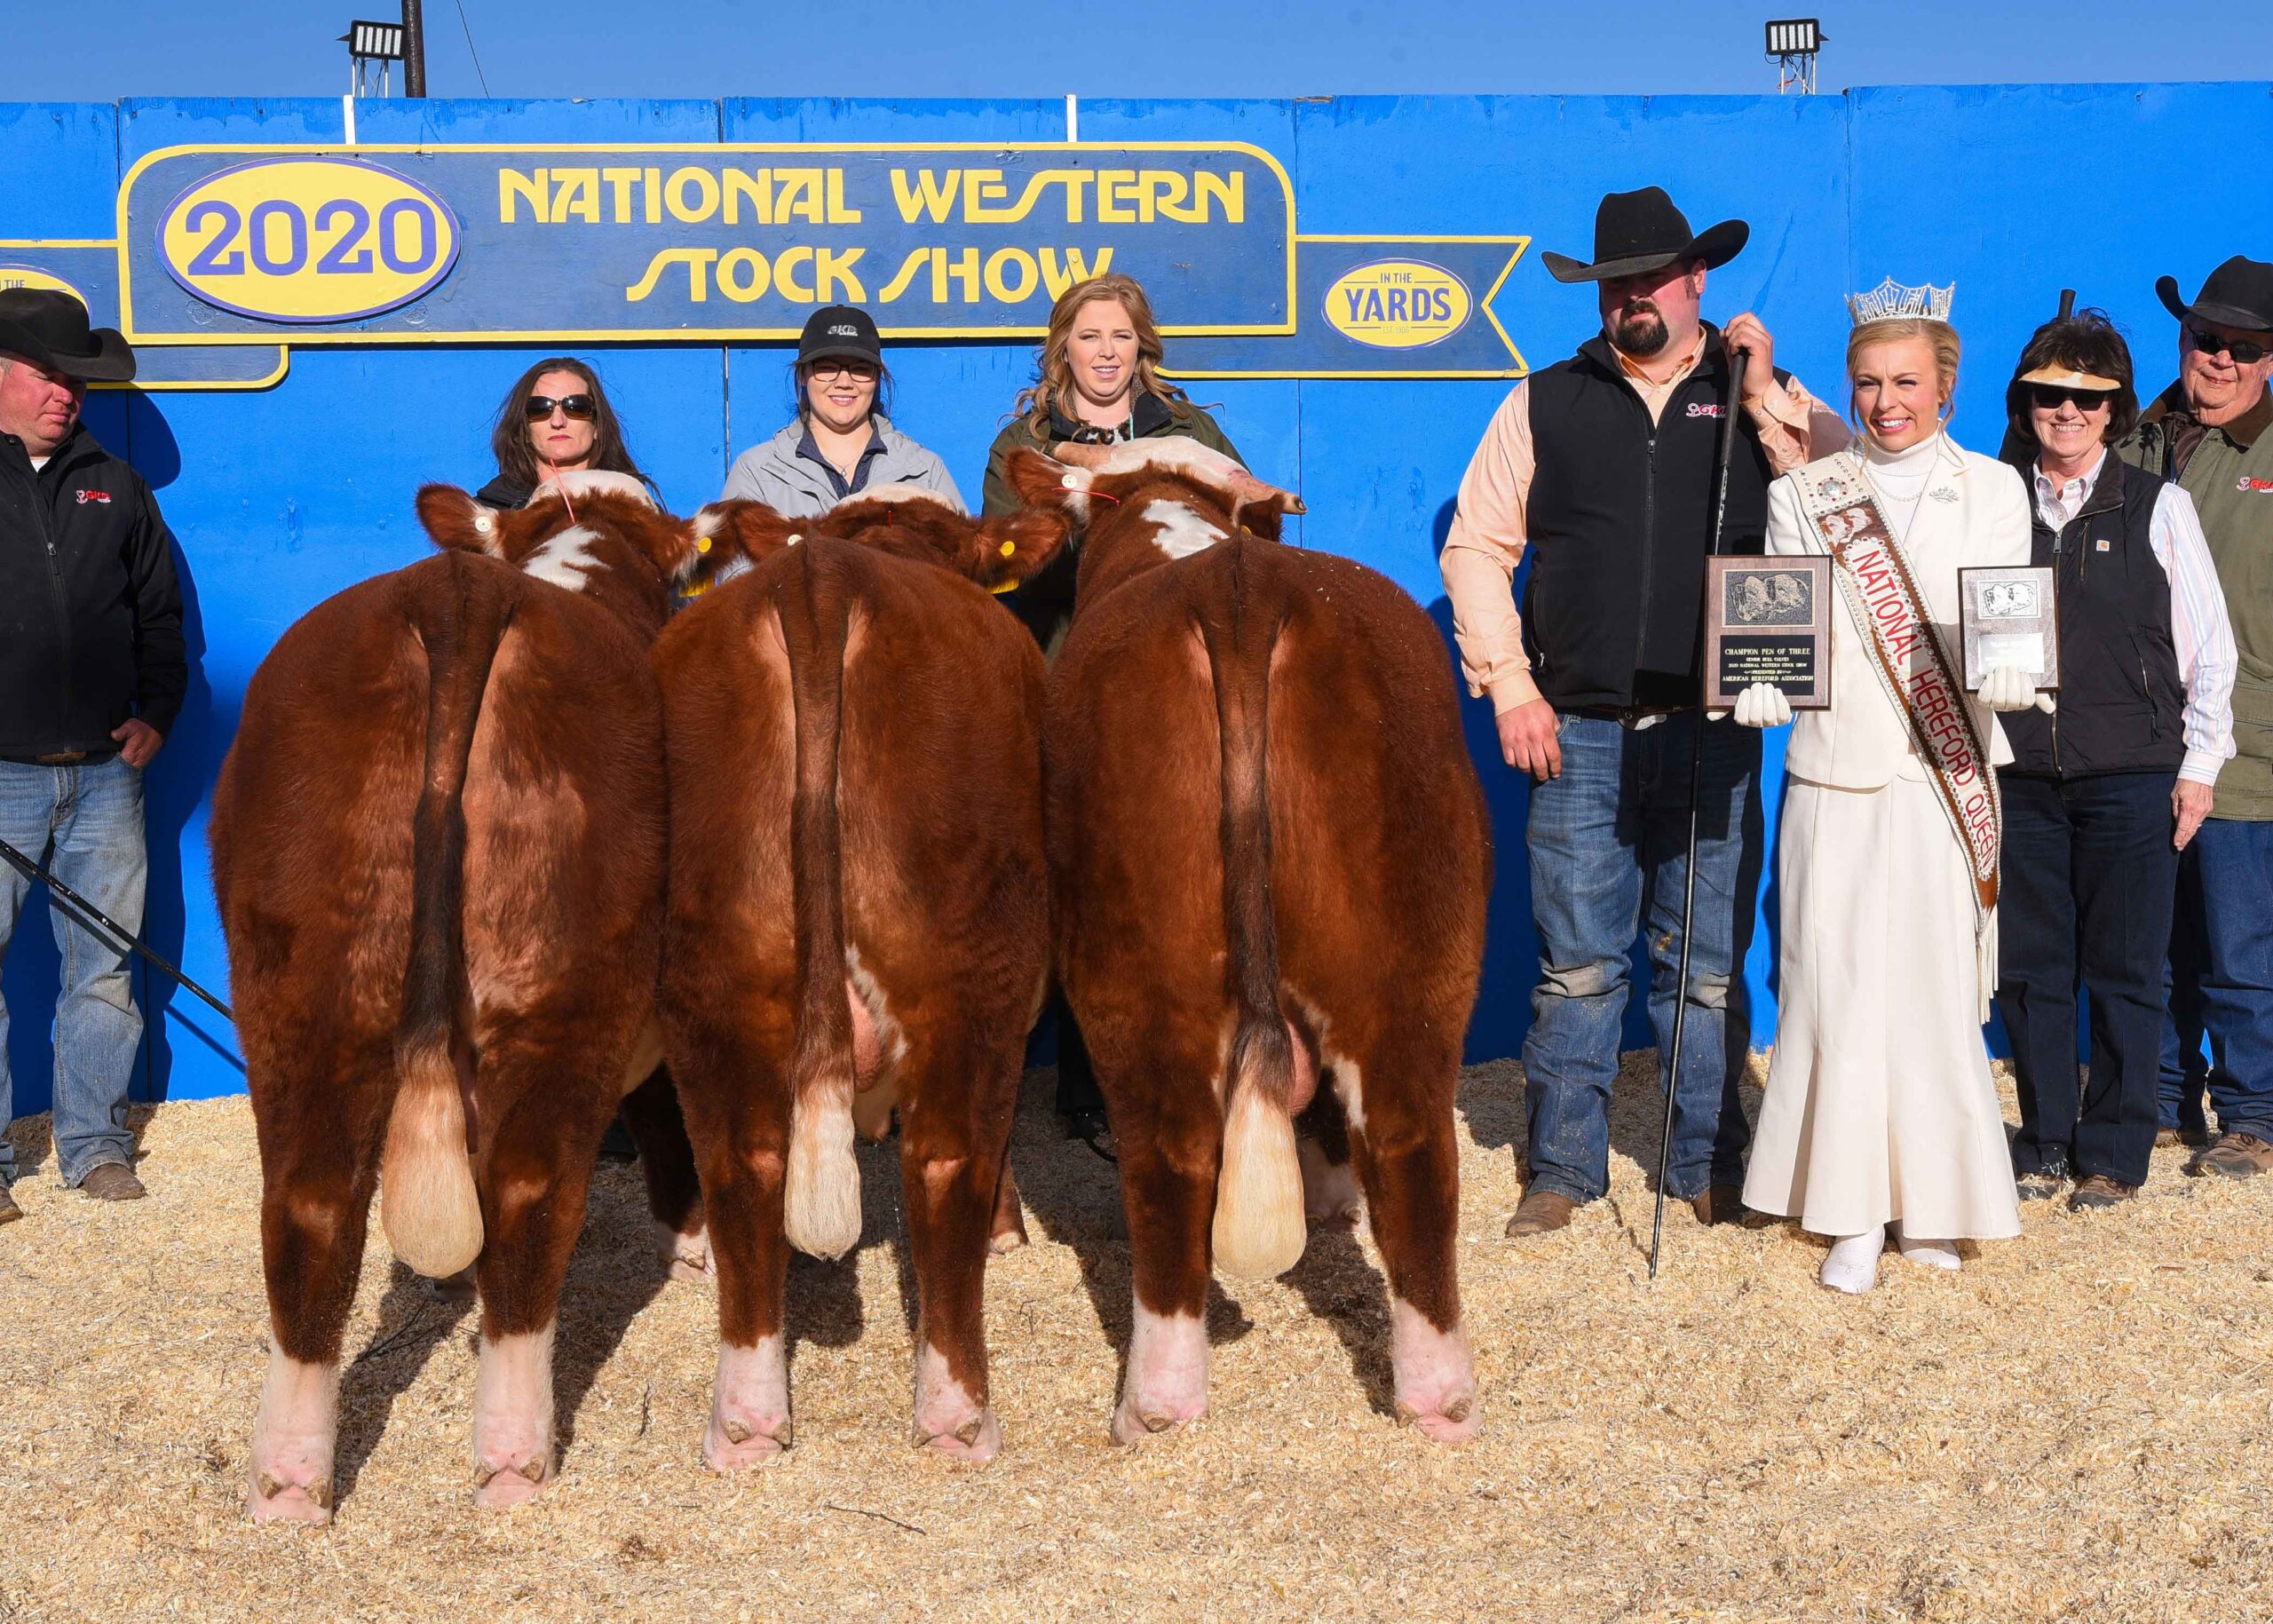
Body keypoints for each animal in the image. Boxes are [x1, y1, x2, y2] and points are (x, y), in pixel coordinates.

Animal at [214, 468, 709, 1519]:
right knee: (527, 1194)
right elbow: (664, 1119)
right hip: (561, 987)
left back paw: (289, 1483)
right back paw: (515, 1459)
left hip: (302, 984)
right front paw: (692, 1243)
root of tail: (457, 587)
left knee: (311, 1205)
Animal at [659, 487, 1073, 1464]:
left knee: (742, 1159)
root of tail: (822, 575)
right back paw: (959, 1417)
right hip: (971, 967)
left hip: (711, 973)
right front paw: (1008, 1231)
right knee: (946, 1156)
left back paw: (745, 1422)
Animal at [1009, 436, 1500, 1437]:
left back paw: (1153, 1405)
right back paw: (1440, 1399)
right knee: (1410, 1144)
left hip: (1131, 968)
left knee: (1170, 1153)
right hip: (1416, 944)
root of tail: (1239, 595)